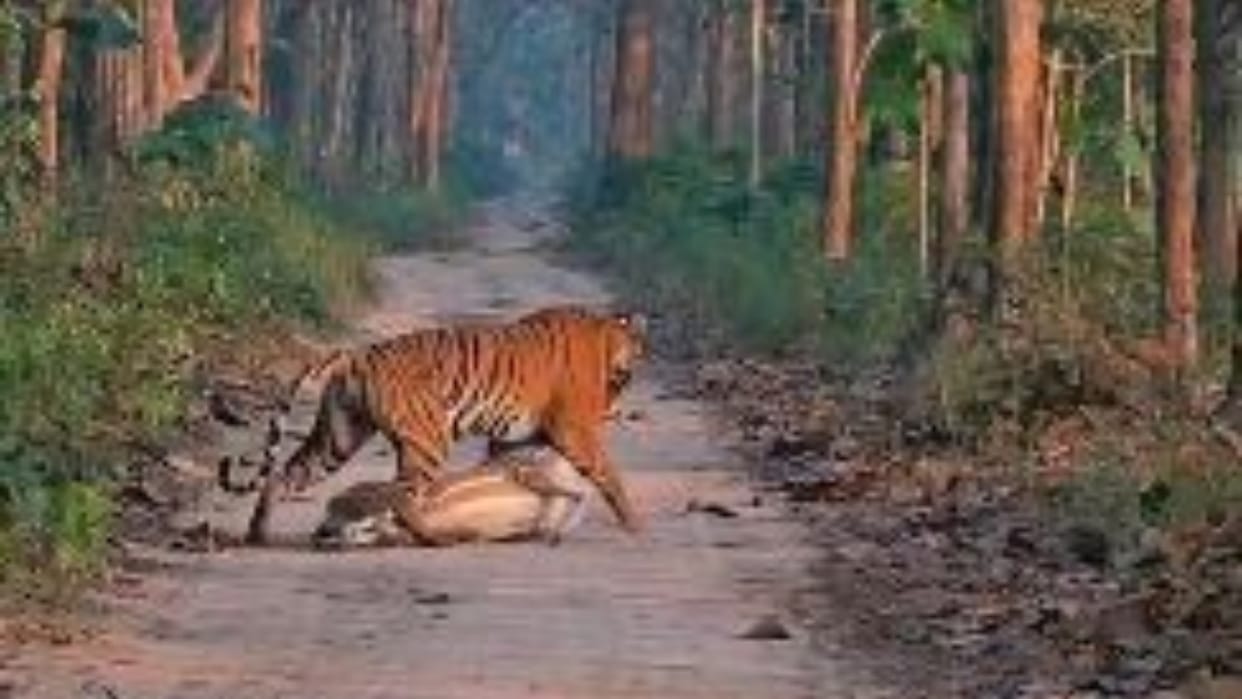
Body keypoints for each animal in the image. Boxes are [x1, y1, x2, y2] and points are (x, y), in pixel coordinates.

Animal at [219, 305, 645, 545]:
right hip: (427, 443)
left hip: (337, 438)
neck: (605, 338)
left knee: (282, 475)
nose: (617, 402)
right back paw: (442, 536)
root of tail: (356, 355)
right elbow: (609, 475)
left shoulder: (513, 440)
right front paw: (635, 523)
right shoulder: (575, 430)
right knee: (403, 499)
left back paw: (258, 534)